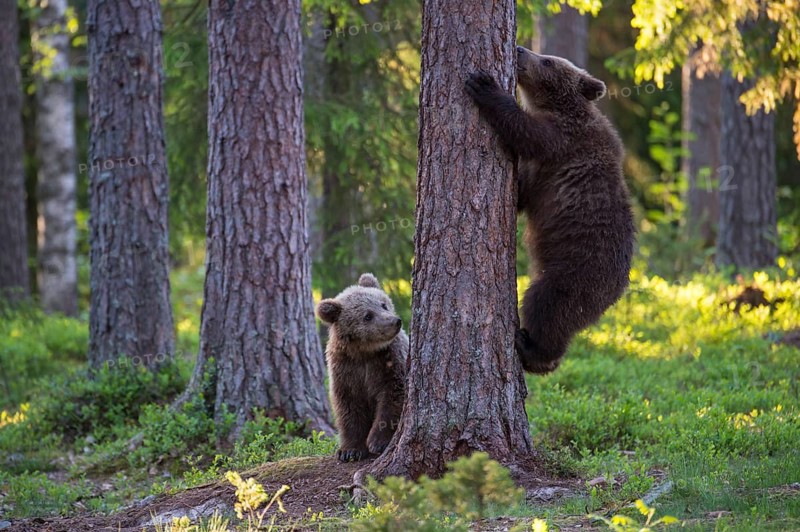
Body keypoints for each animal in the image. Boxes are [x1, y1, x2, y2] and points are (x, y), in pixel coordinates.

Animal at [316, 273, 408, 462]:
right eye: (367, 315)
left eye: (383, 304)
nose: (395, 321)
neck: (364, 352)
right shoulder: (346, 370)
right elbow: (349, 407)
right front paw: (350, 450)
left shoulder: (391, 362)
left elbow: (393, 397)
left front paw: (377, 441)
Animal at [464, 45, 635, 374]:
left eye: (547, 61)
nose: (520, 49)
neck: (560, 107)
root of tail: (618, 290)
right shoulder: (541, 175)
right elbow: (522, 193)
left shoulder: (561, 141)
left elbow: (526, 131)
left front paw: (484, 86)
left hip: (574, 272)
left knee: (546, 305)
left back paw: (533, 351)